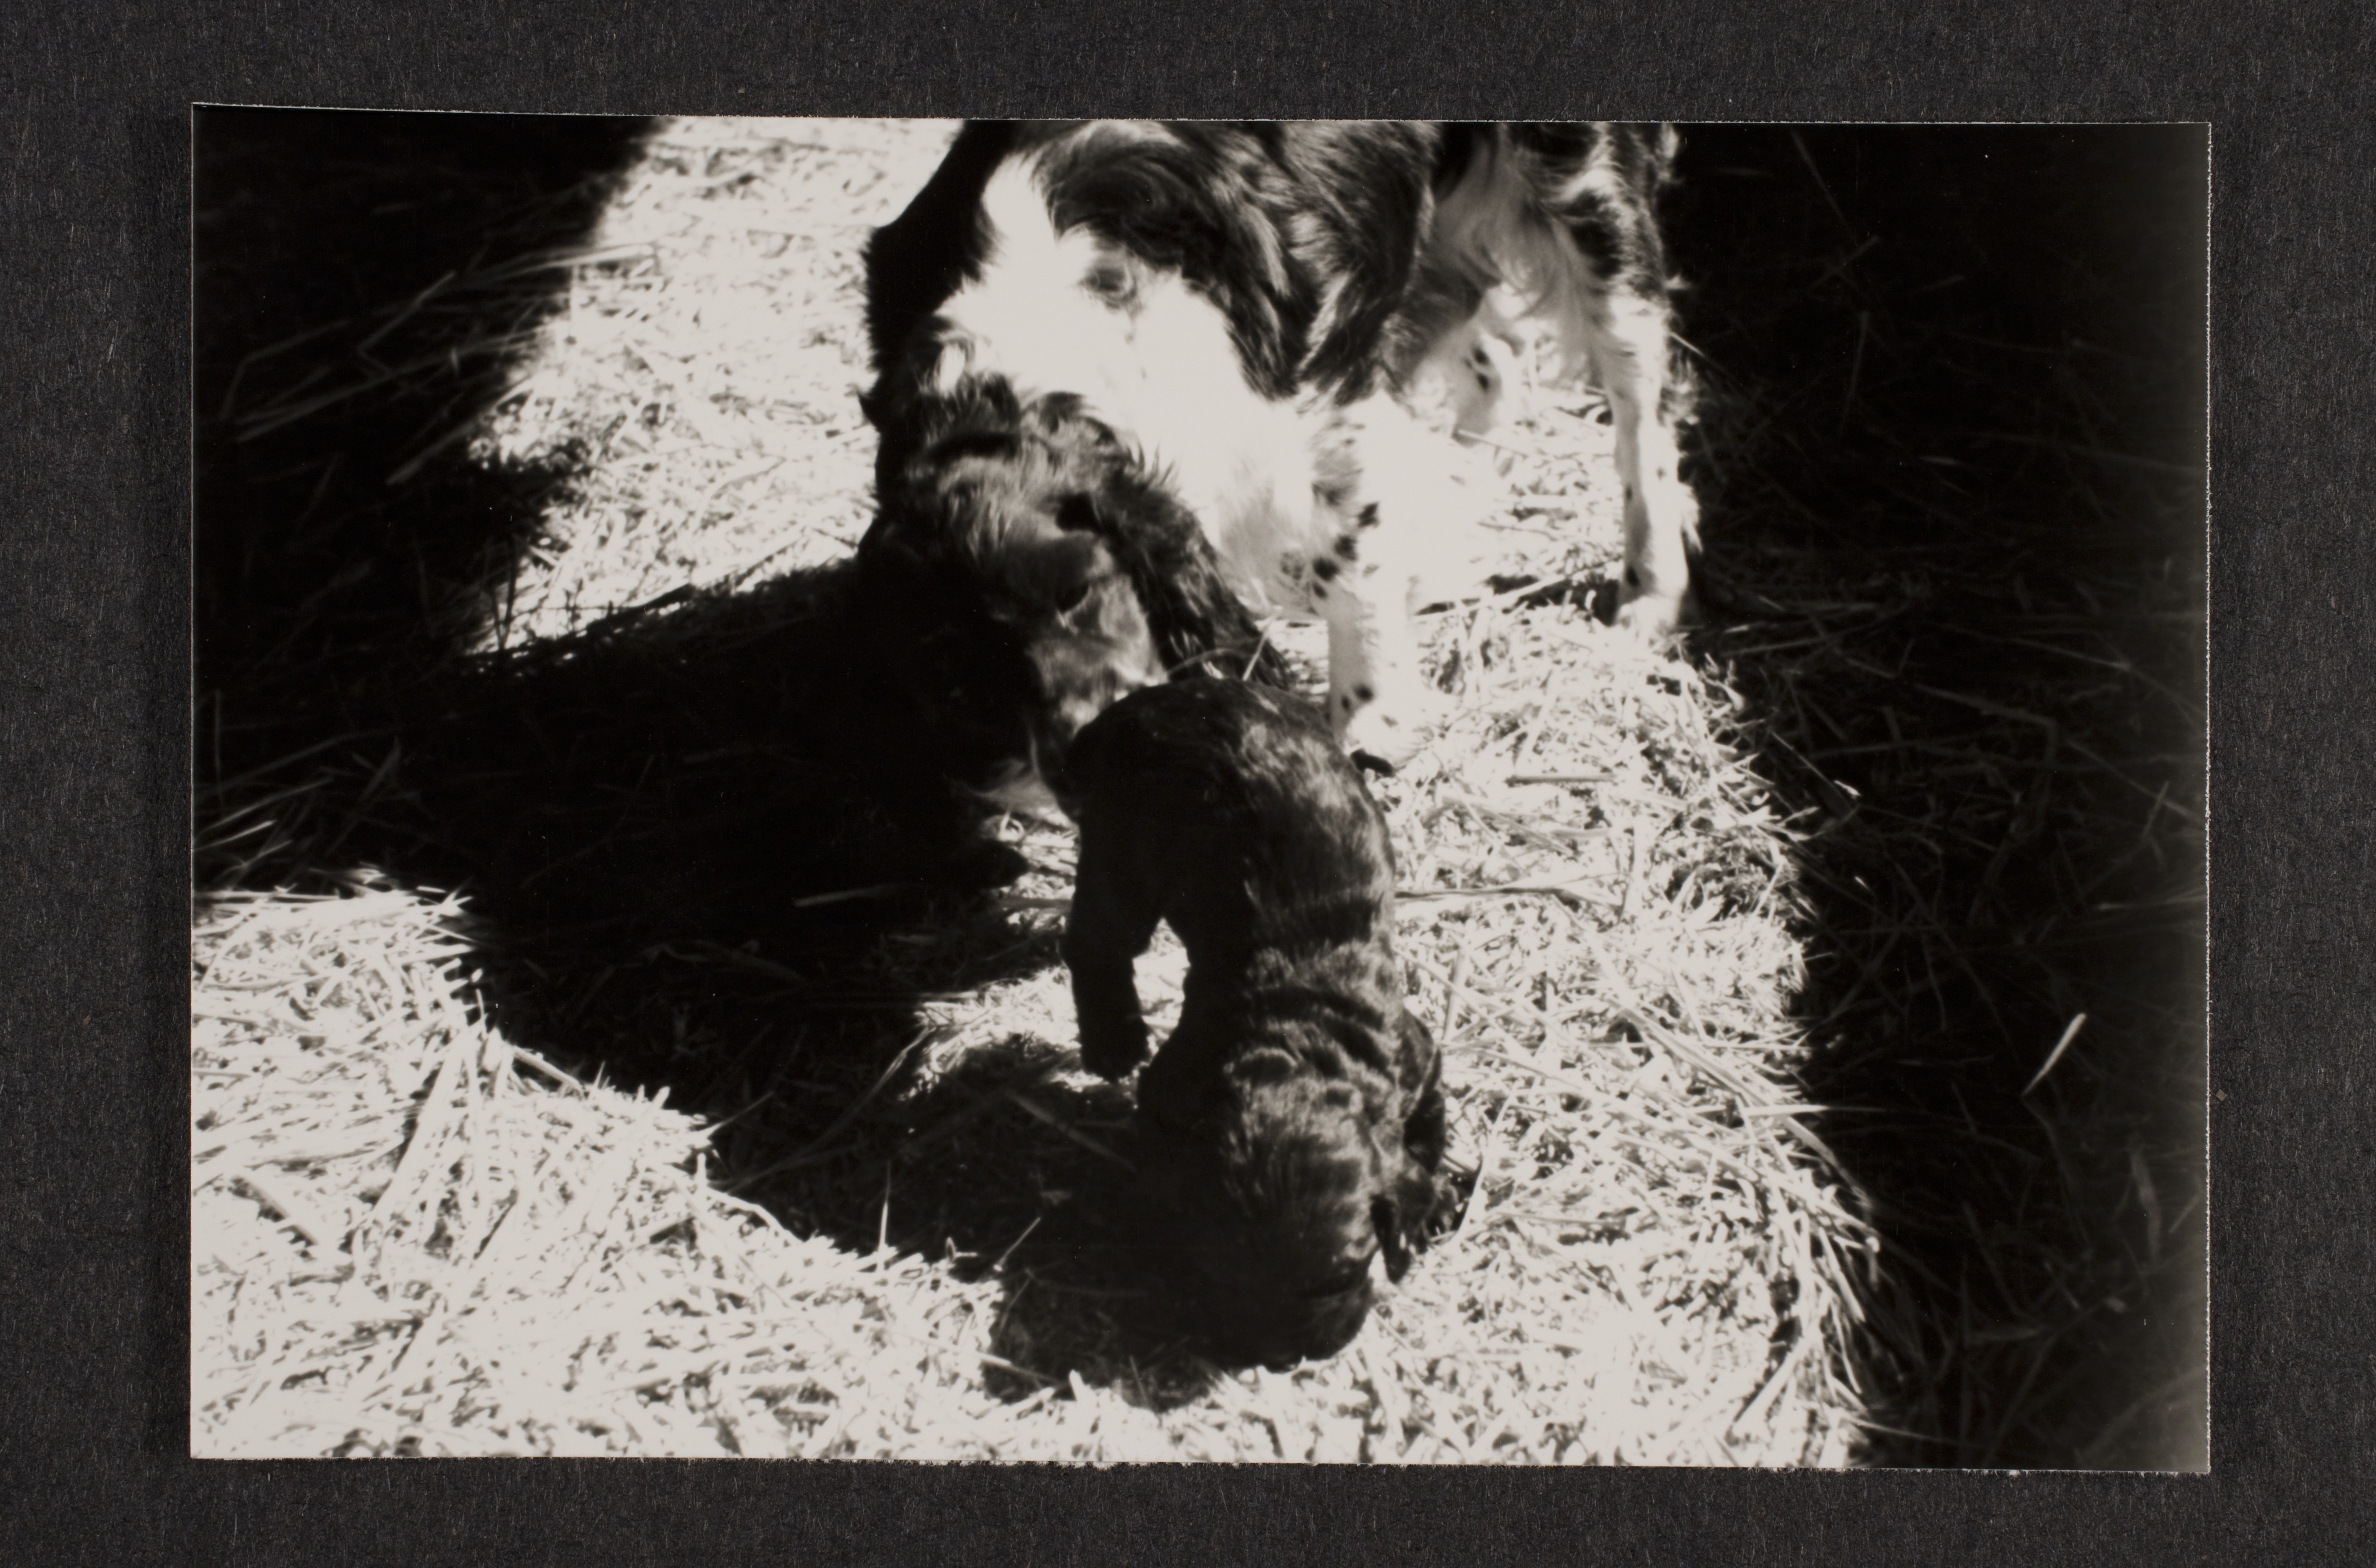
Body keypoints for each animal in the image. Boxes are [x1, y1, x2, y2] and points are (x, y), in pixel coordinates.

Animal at [865, 119, 1701, 798]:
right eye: (961, 687)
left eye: (1077, 589)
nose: (1082, 757)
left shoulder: (1325, 397)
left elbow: (1350, 566)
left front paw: (1368, 729)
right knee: (1495, 360)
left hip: (1589, 201)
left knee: (1641, 411)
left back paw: (1648, 594)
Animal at [1059, 679, 1444, 1368]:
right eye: (1220, 1276)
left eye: (1341, 1276)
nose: (1280, 1355)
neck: (1296, 1041)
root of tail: (1150, 702)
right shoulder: (1173, 1084)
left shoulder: (1414, 1055)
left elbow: (1427, 1119)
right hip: (1124, 848)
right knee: (1096, 942)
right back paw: (1113, 1041)